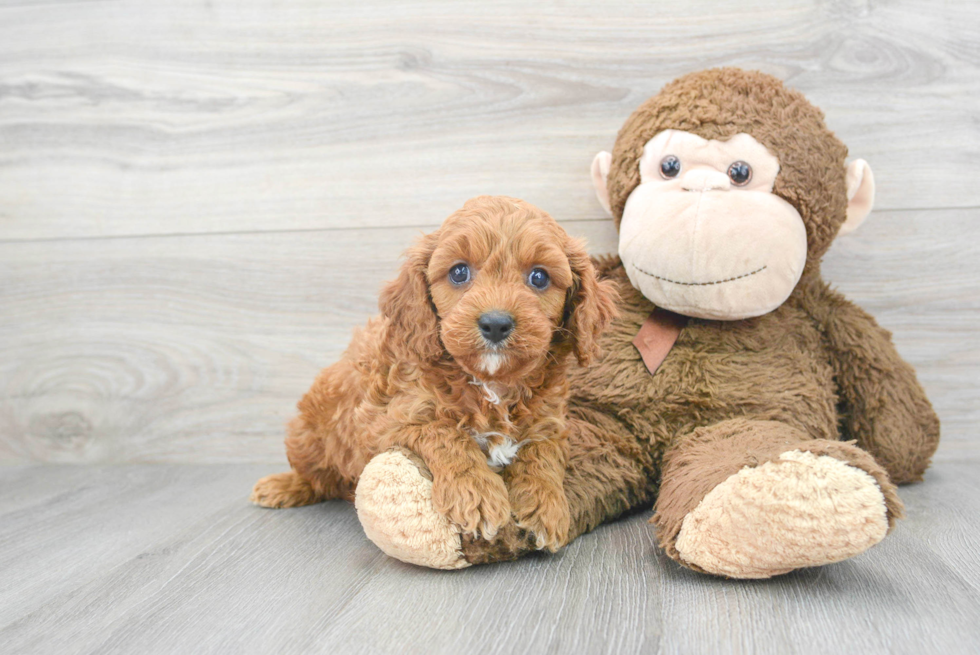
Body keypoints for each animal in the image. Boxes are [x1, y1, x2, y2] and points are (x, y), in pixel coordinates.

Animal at [255, 196, 620, 552]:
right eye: (459, 272)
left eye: (540, 277)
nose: (496, 323)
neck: (492, 385)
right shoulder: (383, 421)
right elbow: (445, 433)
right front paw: (477, 494)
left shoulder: (550, 423)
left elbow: (542, 454)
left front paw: (545, 506)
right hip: (309, 436)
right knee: (314, 475)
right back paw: (281, 486)